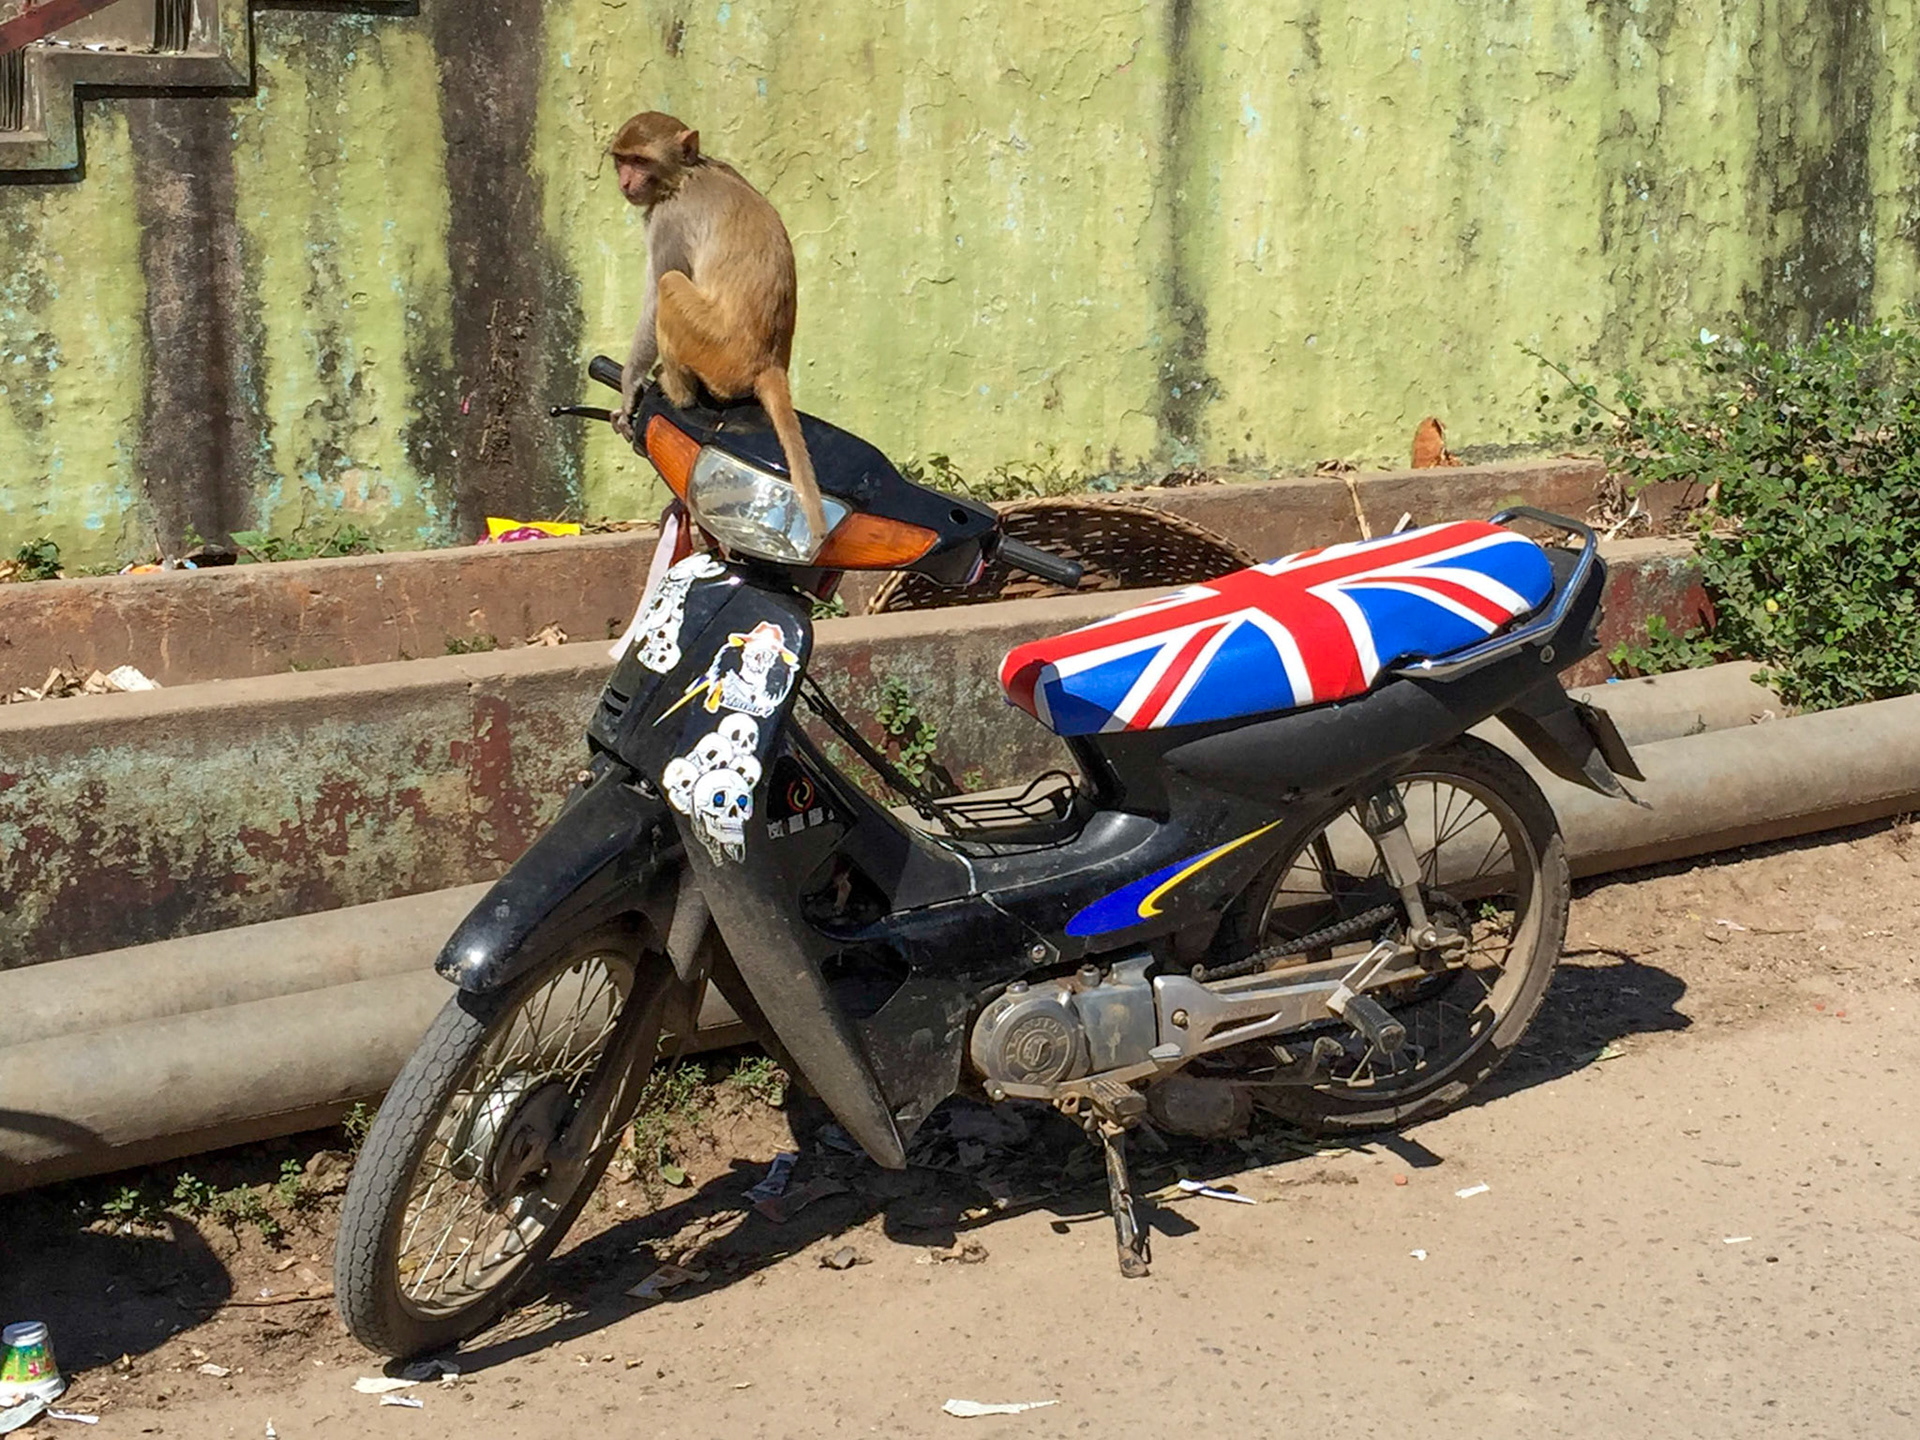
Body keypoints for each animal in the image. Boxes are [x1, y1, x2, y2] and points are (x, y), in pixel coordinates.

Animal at [608, 112, 825, 539]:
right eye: (622, 160)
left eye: (640, 161)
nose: (625, 182)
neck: (684, 174)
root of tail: (768, 363)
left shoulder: (668, 220)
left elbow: (656, 296)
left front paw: (628, 390)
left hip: (714, 350)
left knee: (669, 284)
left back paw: (677, 393)